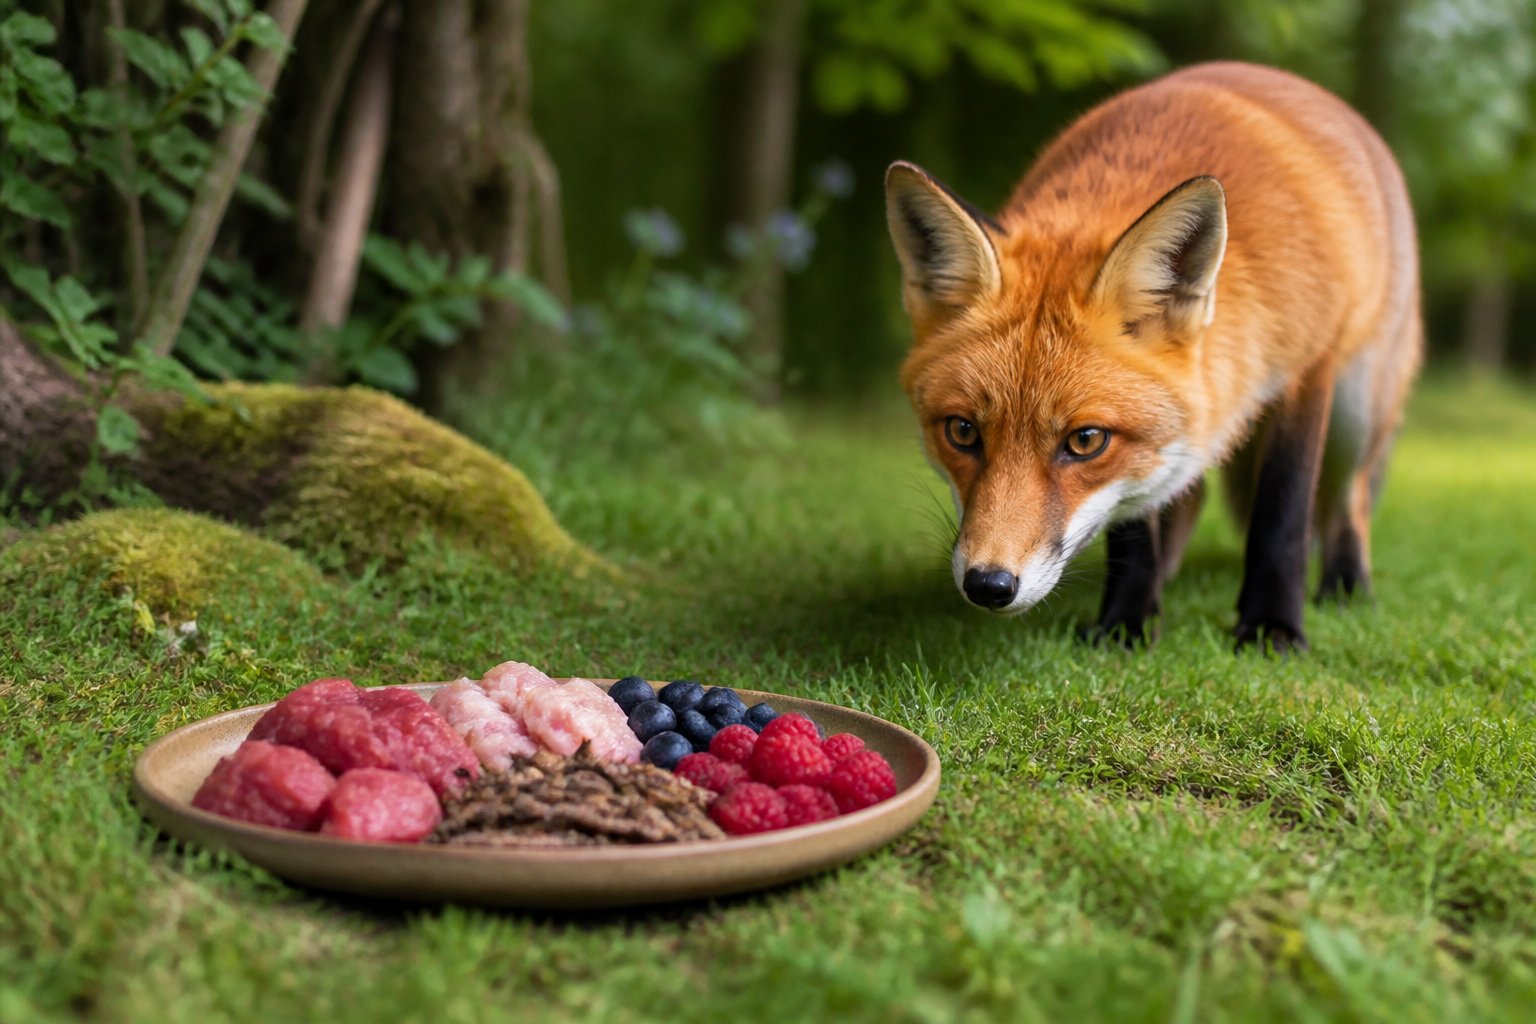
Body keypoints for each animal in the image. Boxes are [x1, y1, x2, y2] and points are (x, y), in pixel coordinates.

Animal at [885, 62, 1421, 652]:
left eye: (1085, 441)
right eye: (962, 431)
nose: (988, 585)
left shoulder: (1307, 367)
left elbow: (1282, 514)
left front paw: (1272, 627)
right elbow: (1135, 523)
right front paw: (1125, 621)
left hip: (1357, 407)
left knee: (1349, 496)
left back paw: (1345, 586)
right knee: (1187, 493)